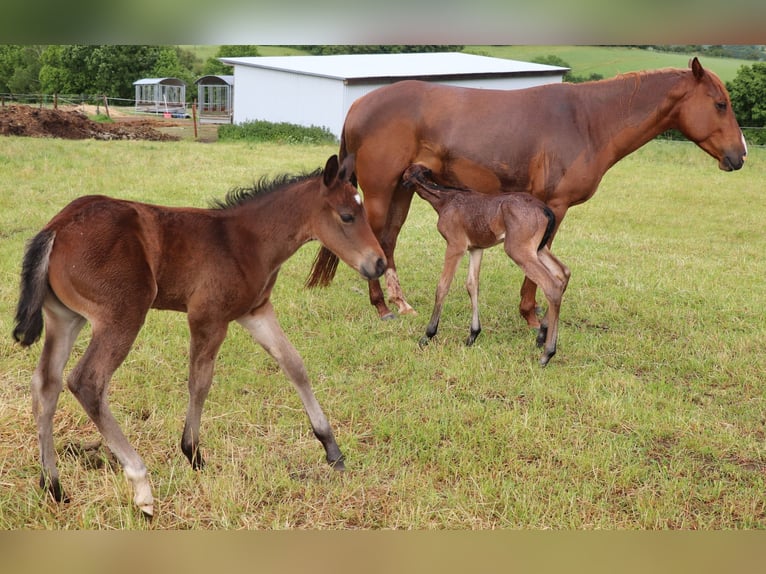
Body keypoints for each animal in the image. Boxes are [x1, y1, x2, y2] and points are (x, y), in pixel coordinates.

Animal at [12, 154, 386, 518]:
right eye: (347, 216)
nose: (379, 264)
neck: (246, 241)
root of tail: (56, 228)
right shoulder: (208, 317)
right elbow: (200, 381)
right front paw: (192, 453)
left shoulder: (256, 312)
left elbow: (293, 365)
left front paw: (331, 448)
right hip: (123, 314)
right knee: (87, 381)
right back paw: (141, 486)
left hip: (65, 318)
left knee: (46, 385)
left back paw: (53, 486)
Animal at [307, 57, 747, 324]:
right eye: (720, 104)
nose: (740, 155)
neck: (587, 121)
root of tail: (358, 105)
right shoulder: (554, 206)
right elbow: (538, 259)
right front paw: (532, 314)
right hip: (382, 192)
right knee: (377, 240)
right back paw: (382, 307)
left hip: (402, 190)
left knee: (388, 241)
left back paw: (400, 304)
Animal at [402, 164, 570, 366]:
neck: (445, 200)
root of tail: (545, 209)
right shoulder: (476, 249)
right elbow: (472, 285)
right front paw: (472, 335)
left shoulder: (455, 246)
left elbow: (442, 286)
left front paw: (428, 335)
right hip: (539, 249)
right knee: (563, 273)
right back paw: (541, 335)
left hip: (518, 250)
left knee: (551, 284)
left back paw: (547, 353)